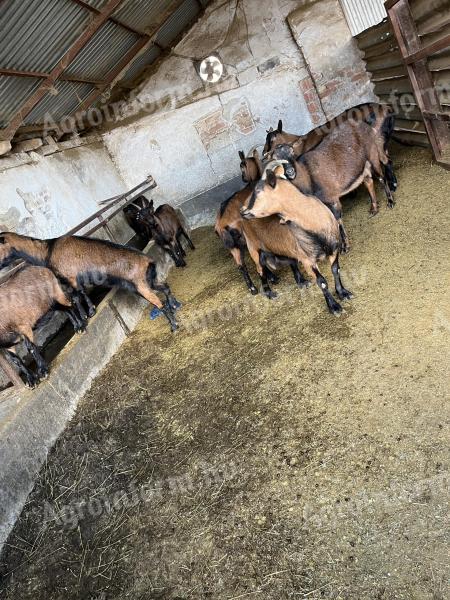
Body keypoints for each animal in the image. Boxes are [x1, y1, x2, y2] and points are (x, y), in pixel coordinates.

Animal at [0, 231, 179, 332]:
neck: (47, 250)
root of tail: (148, 261)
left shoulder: (70, 278)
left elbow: (76, 297)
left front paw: (84, 320)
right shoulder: (76, 280)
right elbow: (83, 293)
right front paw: (91, 311)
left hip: (141, 285)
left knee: (159, 303)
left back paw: (174, 326)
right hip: (148, 282)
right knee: (165, 287)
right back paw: (175, 305)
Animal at [270, 119, 394, 253]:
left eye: (292, 152)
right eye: (275, 160)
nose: (290, 171)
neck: (308, 175)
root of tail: (364, 124)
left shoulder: (332, 198)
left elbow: (337, 220)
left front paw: (345, 246)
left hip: (372, 154)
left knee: (381, 177)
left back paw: (390, 201)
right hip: (362, 165)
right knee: (368, 181)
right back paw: (374, 209)